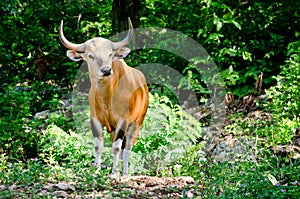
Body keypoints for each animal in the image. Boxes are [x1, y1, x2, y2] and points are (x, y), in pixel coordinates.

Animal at [58, 18, 148, 176]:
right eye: (90, 55)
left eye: (110, 54)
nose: (106, 70)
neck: (106, 98)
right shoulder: (95, 119)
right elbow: (99, 146)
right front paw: (97, 171)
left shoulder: (123, 120)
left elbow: (117, 147)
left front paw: (113, 174)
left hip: (137, 122)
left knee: (127, 148)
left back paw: (124, 173)